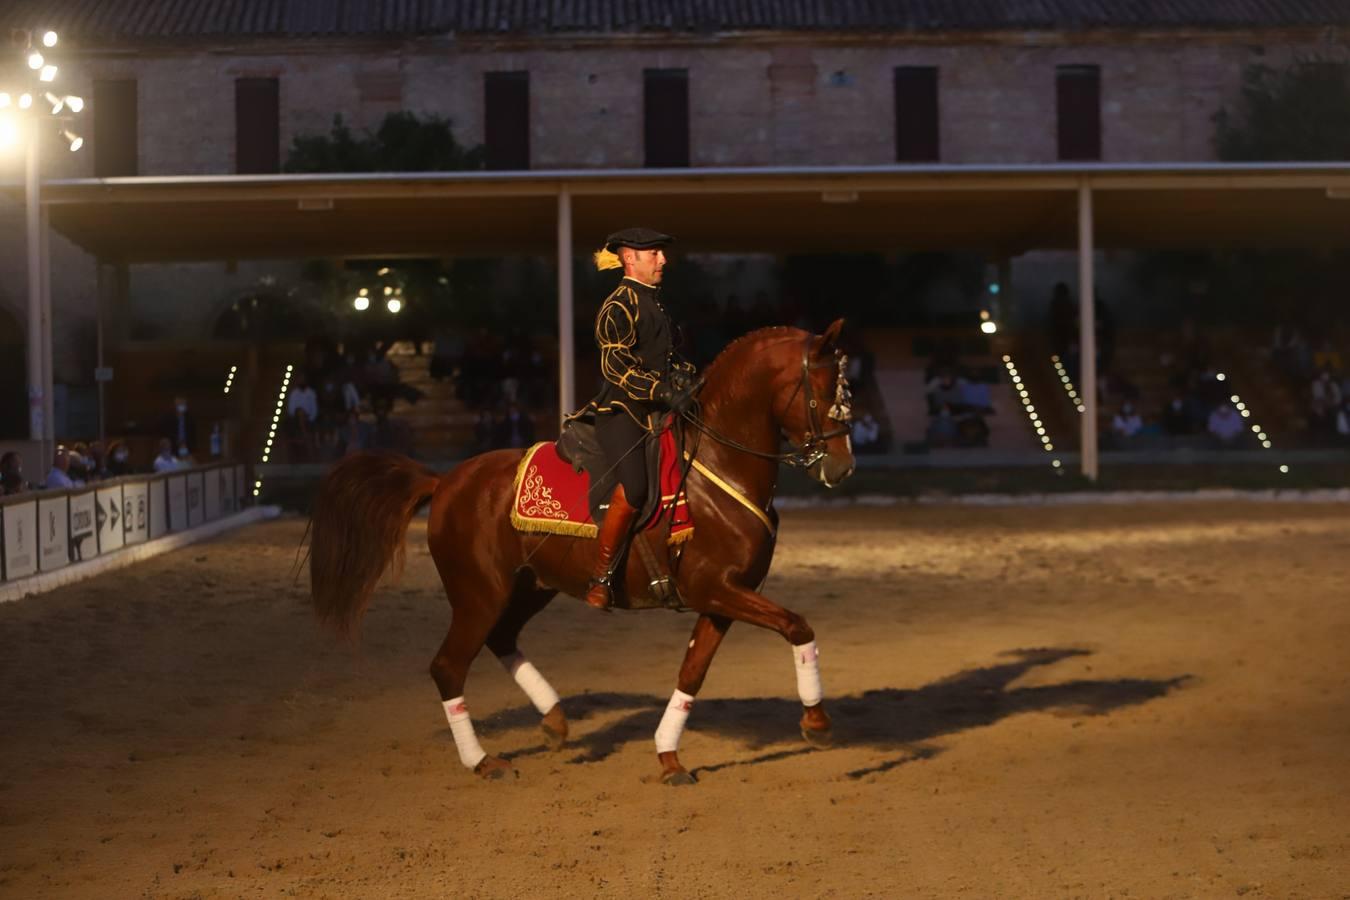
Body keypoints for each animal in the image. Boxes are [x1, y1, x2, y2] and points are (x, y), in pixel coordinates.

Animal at [309, 322, 853, 782]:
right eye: (825, 392)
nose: (842, 467)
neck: (718, 466)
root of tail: (444, 482)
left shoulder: (722, 597)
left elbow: (693, 672)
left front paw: (669, 757)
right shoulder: (716, 588)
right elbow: (797, 626)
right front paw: (818, 723)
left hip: (529, 586)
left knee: (501, 639)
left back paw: (553, 719)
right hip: (478, 594)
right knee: (448, 666)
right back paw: (484, 761)